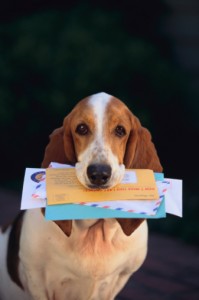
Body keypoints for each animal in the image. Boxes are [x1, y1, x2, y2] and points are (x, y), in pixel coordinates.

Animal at [0, 92, 162, 300]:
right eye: (82, 128)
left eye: (120, 130)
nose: (99, 173)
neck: (94, 228)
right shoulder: (37, 280)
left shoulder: (119, 279)